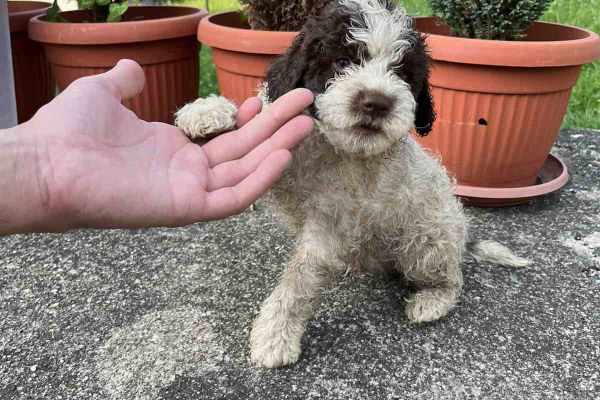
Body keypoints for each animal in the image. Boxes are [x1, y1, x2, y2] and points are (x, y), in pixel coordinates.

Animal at [175, 0, 528, 368]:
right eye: (343, 62)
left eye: (401, 74)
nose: (377, 103)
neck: (336, 149)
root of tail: (460, 240)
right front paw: (210, 112)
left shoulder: (331, 226)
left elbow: (300, 280)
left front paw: (275, 336)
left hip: (425, 242)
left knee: (453, 278)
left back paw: (433, 300)